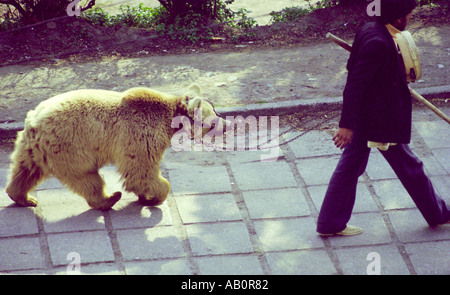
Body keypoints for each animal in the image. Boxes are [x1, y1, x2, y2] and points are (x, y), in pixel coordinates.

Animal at [6, 84, 224, 212]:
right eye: (213, 120)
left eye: (215, 110)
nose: (225, 125)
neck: (169, 121)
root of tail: (36, 121)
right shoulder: (140, 134)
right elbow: (141, 170)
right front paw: (154, 197)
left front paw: (145, 196)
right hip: (70, 147)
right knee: (87, 177)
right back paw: (109, 198)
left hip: (31, 147)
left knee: (25, 170)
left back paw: (23, 197)